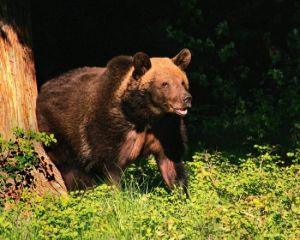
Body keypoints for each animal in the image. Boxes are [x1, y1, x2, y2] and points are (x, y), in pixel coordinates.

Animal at [37, 48, 192, 193]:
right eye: (165, 84)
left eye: (182, 82)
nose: (186, 98)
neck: (143, 114)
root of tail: (42, 90)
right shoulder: (109, 129)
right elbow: (110, 171)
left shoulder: (166, 129)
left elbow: (172, 165)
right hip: (58, 133)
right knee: (73, 171)